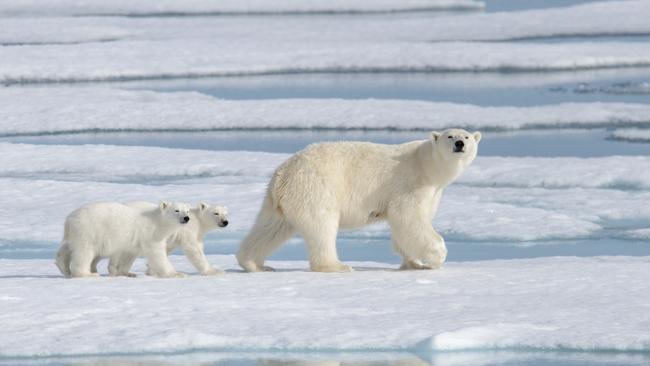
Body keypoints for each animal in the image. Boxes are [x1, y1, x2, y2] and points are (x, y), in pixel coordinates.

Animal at [235, 129, 478, 272]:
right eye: (450, 136)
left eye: (466, 136)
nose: (459, 143)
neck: (426, 164)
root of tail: (283, 174)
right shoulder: (410, 184)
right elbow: (409, 218)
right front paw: (436, 257)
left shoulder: (432, 192)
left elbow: (405, 226)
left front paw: (413, 263)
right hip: (316, 189)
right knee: (322, 227)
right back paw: (336, 265)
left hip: (279, 201)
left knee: (270, 228)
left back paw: (253, 264)